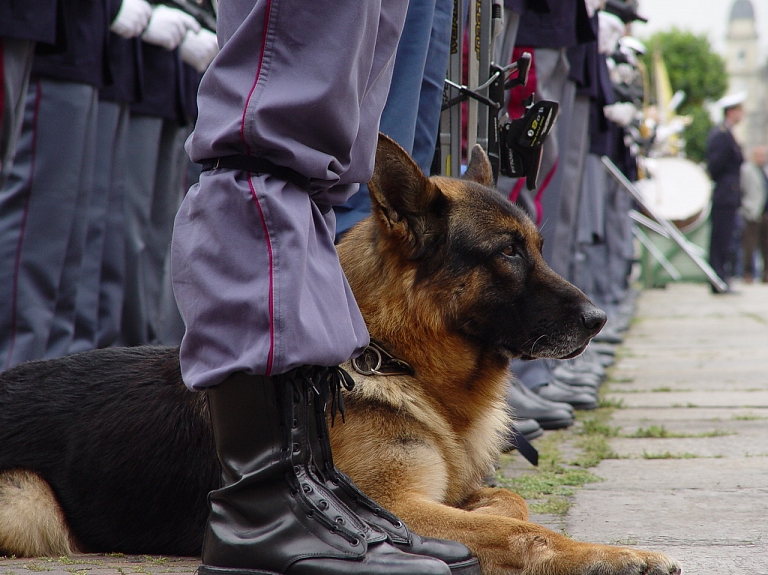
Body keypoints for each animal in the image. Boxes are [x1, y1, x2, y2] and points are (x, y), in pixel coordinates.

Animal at [0, 137, 680, 575]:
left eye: (535, 246)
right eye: (507, 252)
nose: (598, 320)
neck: (393, 358)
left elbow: (507, 501)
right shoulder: (399, 508)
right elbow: (518, 527)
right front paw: (616, 556)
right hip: (30, 503)